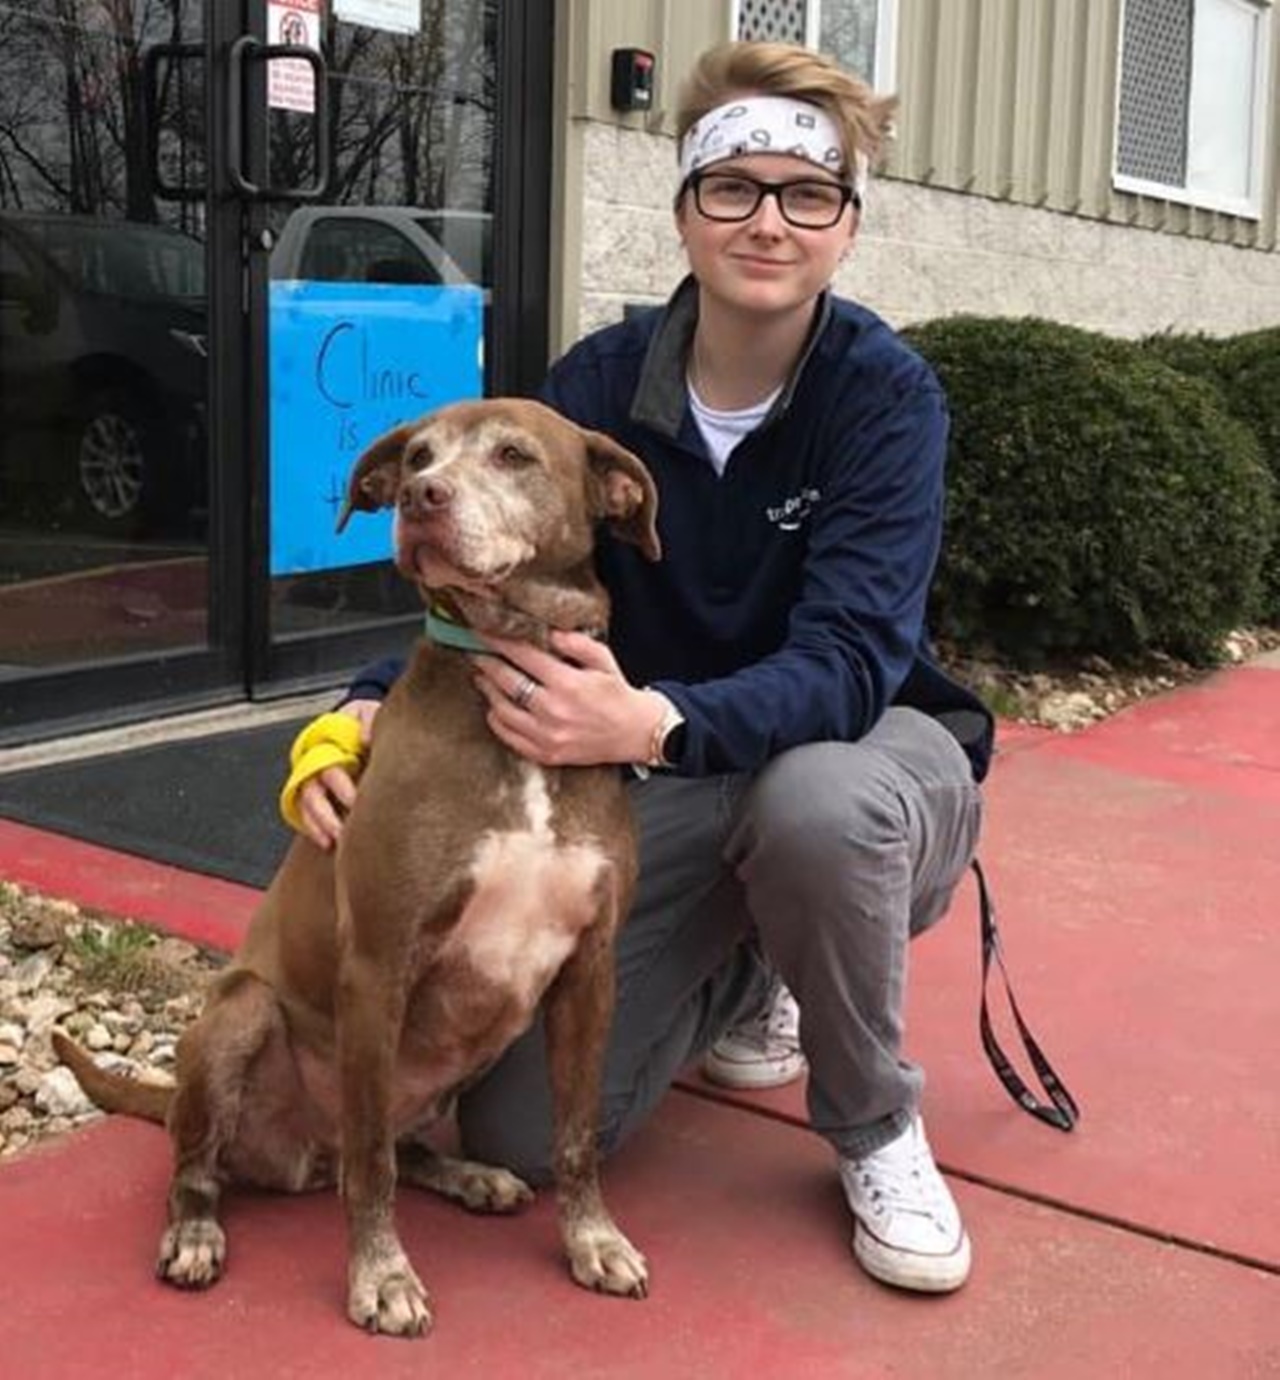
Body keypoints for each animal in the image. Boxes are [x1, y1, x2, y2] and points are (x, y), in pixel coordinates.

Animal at [53, 397, 653, 1335]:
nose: (420, 497)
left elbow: (575, 1132)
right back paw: (195, 1232)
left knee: (403, 1146)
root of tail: (306, 1156)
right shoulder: (378, 965)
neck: (504, 660)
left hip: (489, 1034)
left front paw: (592, 1238)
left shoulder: (590, 970)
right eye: (418, 455)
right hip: (238, 1015)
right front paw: (382, 1276)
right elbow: (373, 1163)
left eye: (514, 455)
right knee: (210, 1164)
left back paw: (469, 1174)